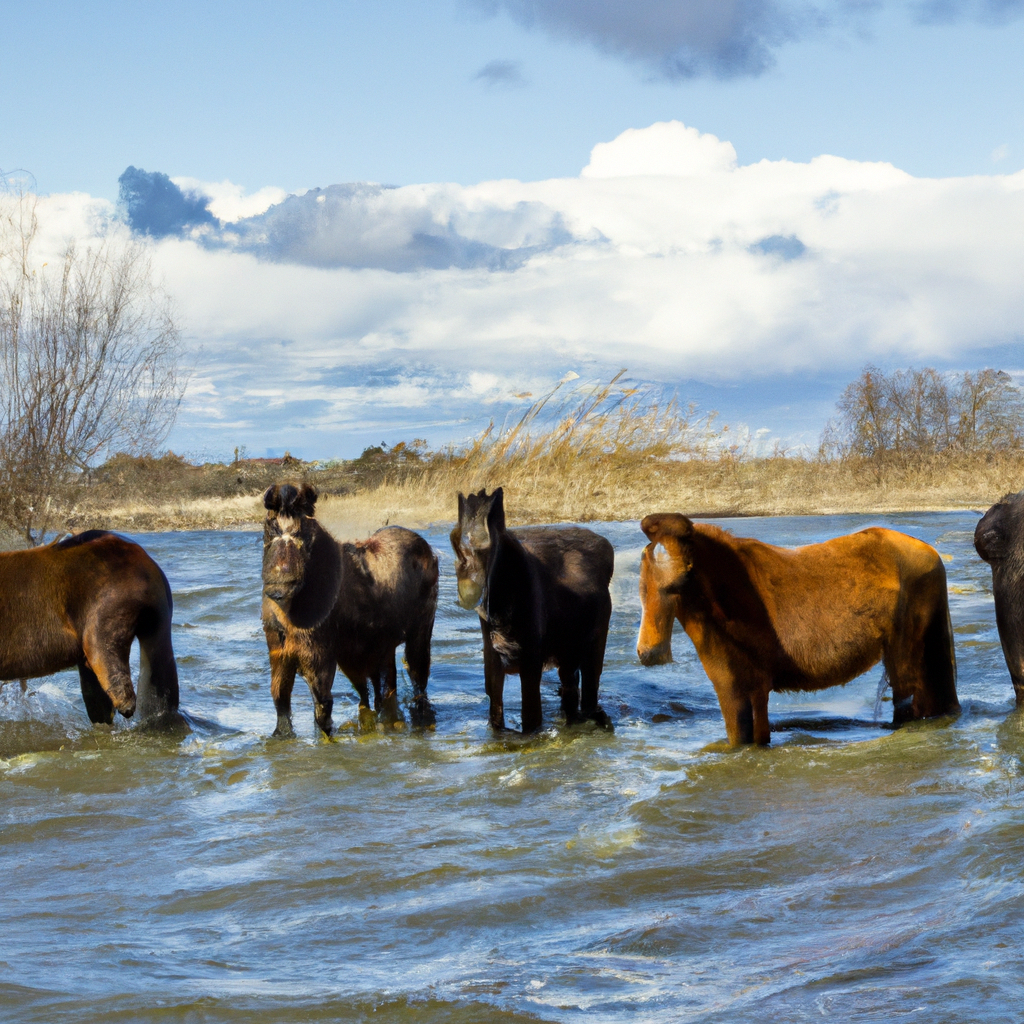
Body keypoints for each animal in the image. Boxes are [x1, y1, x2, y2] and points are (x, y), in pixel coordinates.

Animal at [260, 481, 436, 737]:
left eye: (303, 534)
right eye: (269, 529)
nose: (278, 588)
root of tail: (426, 547)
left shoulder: (321, 659)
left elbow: (323, 713)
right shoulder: (281, 657)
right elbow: (282, 708)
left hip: (420, 633)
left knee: (416, 679)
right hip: (378, 649)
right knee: (382, 690)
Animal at [450, 485, 610, 733]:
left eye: (484, 548)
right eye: (455, 545)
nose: (467, 593)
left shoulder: (531, 662)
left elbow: (531, 722)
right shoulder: (493, 662)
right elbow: (496, 717)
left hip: (593, 647)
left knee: (589, 696)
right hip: (569, 655)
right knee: (571, 691)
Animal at [634, 512, 954, 745]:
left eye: (678, 584)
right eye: (643, 585)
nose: (649, 653)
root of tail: (930, 552)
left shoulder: (750, 687)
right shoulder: (737, 689)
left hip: (905, 658)